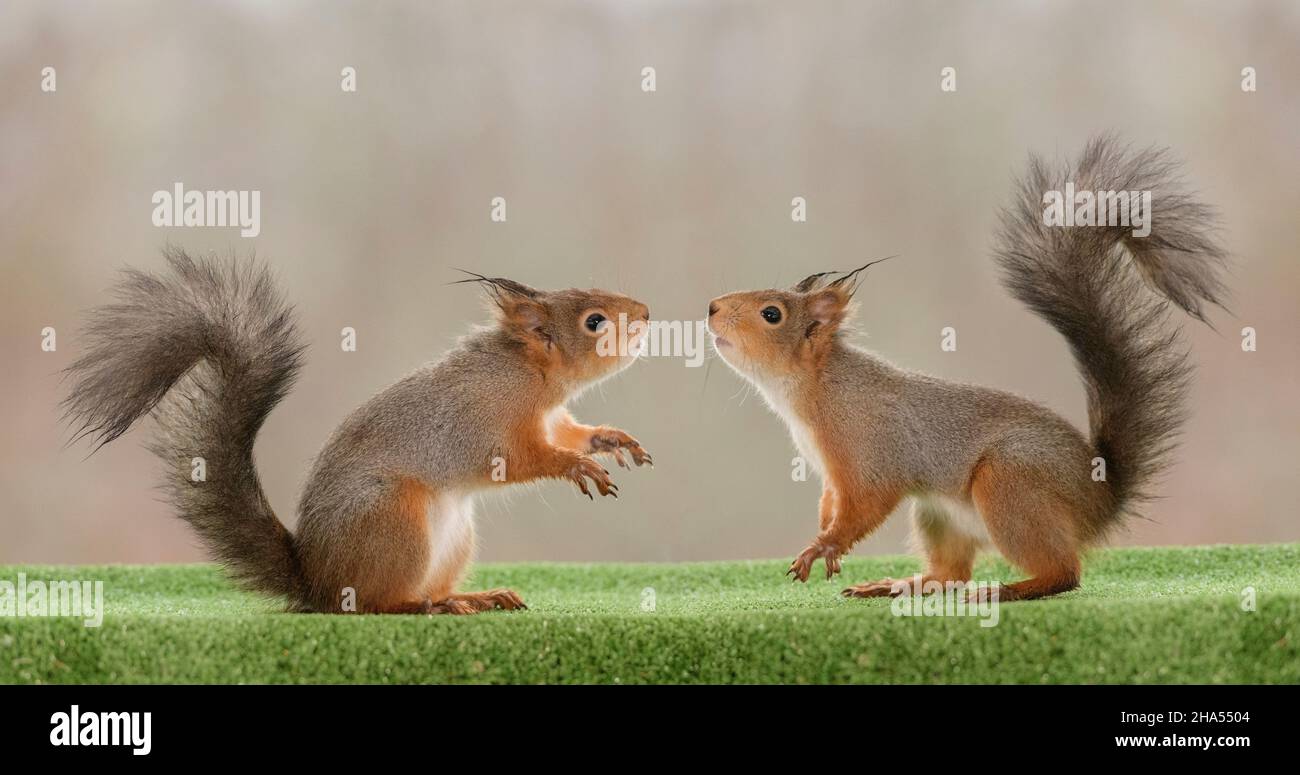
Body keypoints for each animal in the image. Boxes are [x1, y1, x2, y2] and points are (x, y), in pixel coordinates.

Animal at [63, 250, 650, 613]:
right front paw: (575, 466)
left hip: (453, 537)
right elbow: (520, 458)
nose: (645, 312)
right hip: (393, 516)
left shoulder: (554, 418)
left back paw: (473, 598)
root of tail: (317, 580)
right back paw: (425, 606)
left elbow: (573, 432)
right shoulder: (488, 422)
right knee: (371, 604)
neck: (532, 375)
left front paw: (609, 441)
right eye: (594, 321)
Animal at [712, 137, 1227, 598]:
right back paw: (900, 585)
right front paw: (827, 543)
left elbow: (862, 506)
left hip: (1011, 484)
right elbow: (830, 504)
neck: (811, 389)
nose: (712, 308)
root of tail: (1097, 501)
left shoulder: (869, 451)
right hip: (937, 514)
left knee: (1064, 572)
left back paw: (1007, 590)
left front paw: (823, 547)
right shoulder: (830, 475)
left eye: (772, 314)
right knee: (952, 574)